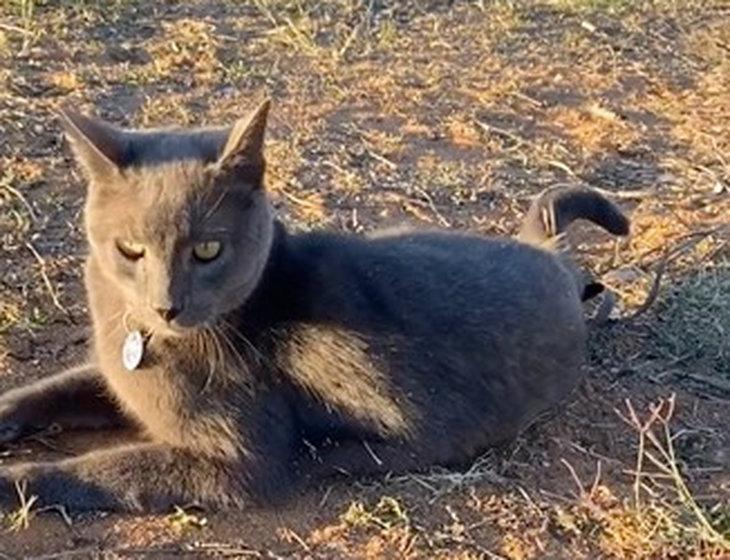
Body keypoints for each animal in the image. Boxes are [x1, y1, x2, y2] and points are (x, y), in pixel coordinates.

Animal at [0, 99, 624, 512]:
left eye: (208, 250)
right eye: (130, 249)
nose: (165, 306)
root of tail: (545, 252)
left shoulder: (239, 465)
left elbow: (102, 470)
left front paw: (14, 481)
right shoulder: (110, 372)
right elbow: (55, 388)